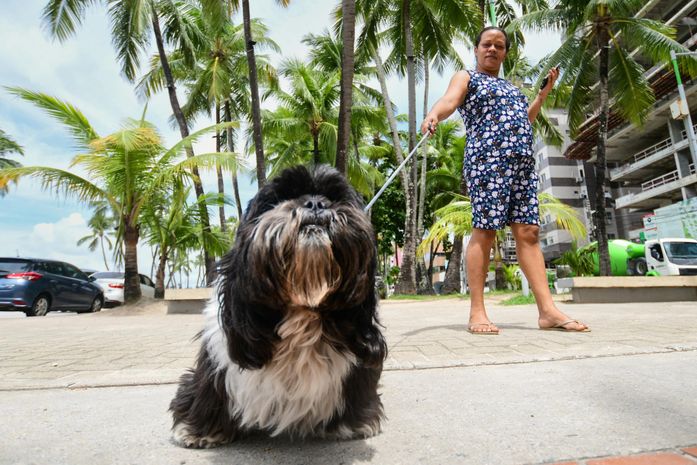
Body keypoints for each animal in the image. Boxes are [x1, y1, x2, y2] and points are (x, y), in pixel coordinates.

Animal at [169, 165, 386, 448]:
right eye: (281, 198)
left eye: (335, 198)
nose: (316, 202)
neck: (302, 311)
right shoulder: (219, 360)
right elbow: (211, 388)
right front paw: (198, 429)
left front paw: (353, 424)